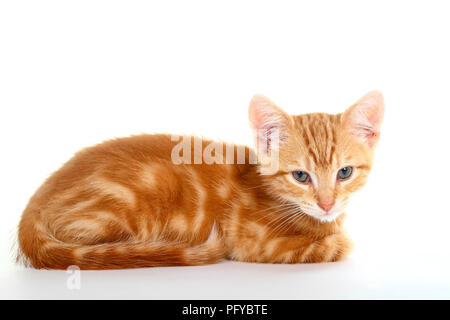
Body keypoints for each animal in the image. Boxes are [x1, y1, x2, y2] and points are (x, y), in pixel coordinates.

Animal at [16, 91, 384, 268]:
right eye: (300, 176)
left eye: (344, 172)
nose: (327, 204)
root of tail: (34, 202)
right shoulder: (258, 244)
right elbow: (338, 245)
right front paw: (338, 239)